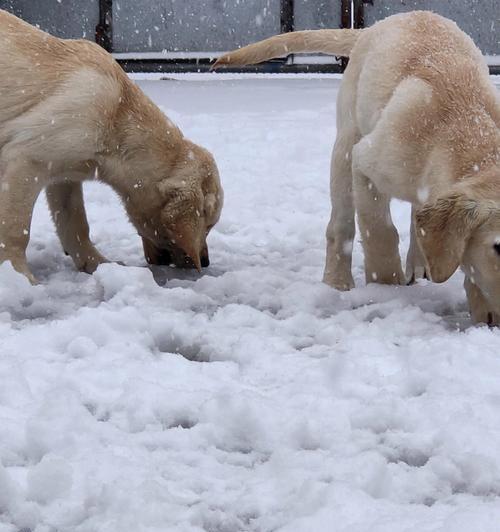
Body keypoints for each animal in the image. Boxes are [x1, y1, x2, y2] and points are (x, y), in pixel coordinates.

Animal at [0, 10, 223, 282]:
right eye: (208, 224)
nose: (206, 261)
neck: (118, 115)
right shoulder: (25, 158)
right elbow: (16, 228)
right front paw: (18, 275)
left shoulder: (64, 173)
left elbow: (75, 222)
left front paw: (96, 263)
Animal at [215, 10, 500, 326]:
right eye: (498, 247)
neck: (471, 133)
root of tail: (376, 25)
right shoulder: (368, 165)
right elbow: (379, 231)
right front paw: (387, 287)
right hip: (346, 143)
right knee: (340, 225)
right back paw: (337, 282)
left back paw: (419, 263)